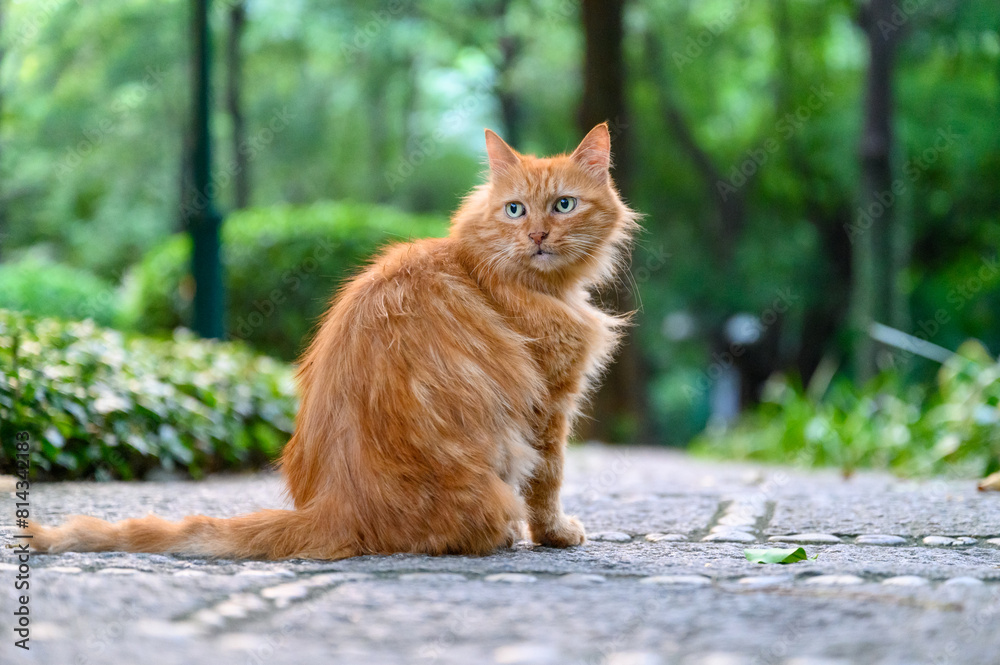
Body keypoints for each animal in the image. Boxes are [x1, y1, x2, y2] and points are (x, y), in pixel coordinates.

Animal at [31, 122, 644, 556]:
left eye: (563, 205)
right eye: (515, 209)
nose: (537, 235)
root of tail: (336, 503)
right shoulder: (550, 405)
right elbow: (550, 481)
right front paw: (555, 534)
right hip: (504, 455)